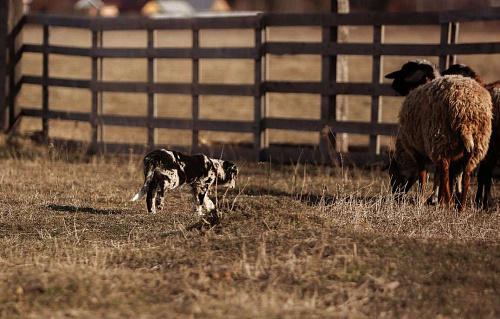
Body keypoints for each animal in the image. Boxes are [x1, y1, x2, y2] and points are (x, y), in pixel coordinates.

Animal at [386, 61, 492, 211]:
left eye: (392, 174)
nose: (396, 197)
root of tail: (466, 111)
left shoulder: (416, 148)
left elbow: (423, 174)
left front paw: (424, 199)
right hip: (477, 144)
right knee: (465, 173)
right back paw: (461, 206)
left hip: (441, 139)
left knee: (446, 170)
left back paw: (447, 202)